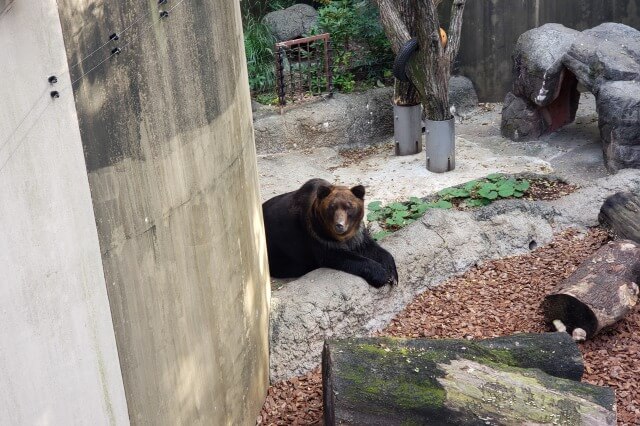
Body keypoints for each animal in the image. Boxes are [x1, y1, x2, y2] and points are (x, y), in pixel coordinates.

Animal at [260, 178, 396, 288]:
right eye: (332, 207)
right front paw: (382, 274)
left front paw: (392, 274)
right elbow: (337, 255)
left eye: (349, 206)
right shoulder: (316, 235)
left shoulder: (357, 235)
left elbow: (372, 248)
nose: (339, 225)